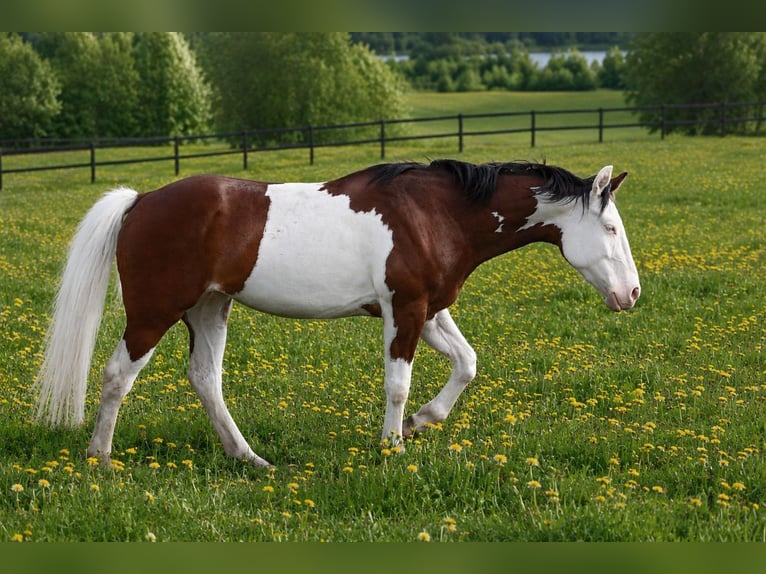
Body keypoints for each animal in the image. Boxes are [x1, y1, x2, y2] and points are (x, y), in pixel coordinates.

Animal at [35, 159, 640, 467]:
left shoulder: (427, 309)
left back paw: (248, 457)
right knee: (117, 375)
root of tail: (140, 201)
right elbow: (398, 383)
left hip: (209, 308)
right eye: (611, 229)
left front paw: (421, 422)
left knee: (206, 379)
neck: (434, 212)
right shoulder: (405, 309)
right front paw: (393, 444)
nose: (632, 294)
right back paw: (99, 457)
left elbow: (467, 364)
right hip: (154, 312)